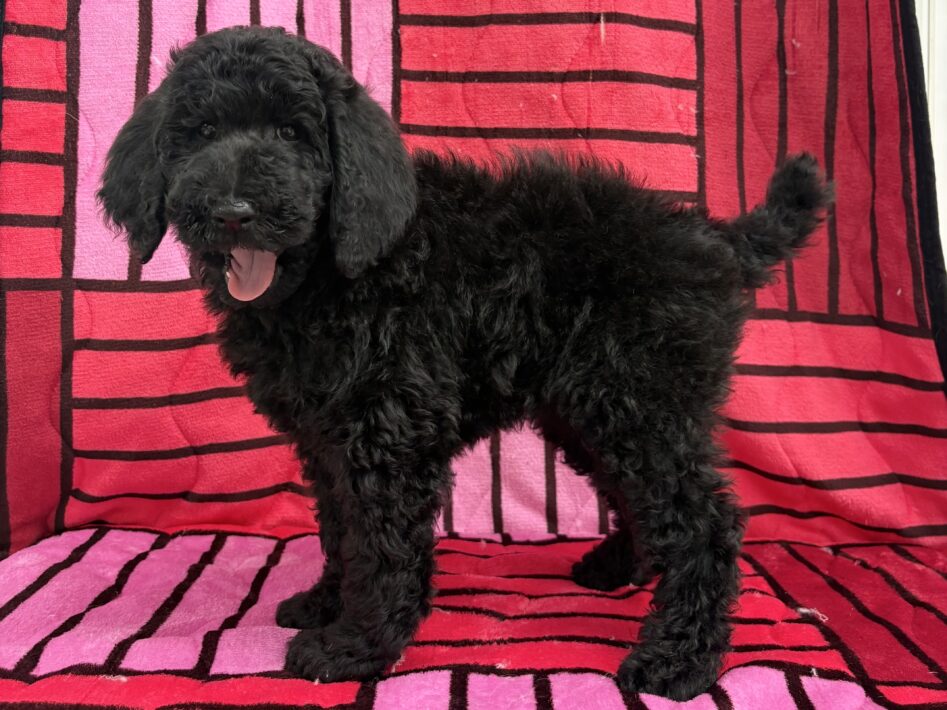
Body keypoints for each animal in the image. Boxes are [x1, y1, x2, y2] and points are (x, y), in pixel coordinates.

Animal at [99, 26, 830, 700]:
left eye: (291, 133)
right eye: (199, 133)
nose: (233, 212)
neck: (324, 277)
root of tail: (716, 237)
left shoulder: (386, 435)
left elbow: (382, 547)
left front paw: (353, 648)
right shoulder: (326, 437)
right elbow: (340, 527)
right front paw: (326, 603)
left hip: (640, 401)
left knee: (705, 523)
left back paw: (679, 660)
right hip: (588, 410)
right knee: (643, 500)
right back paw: (617, 569)